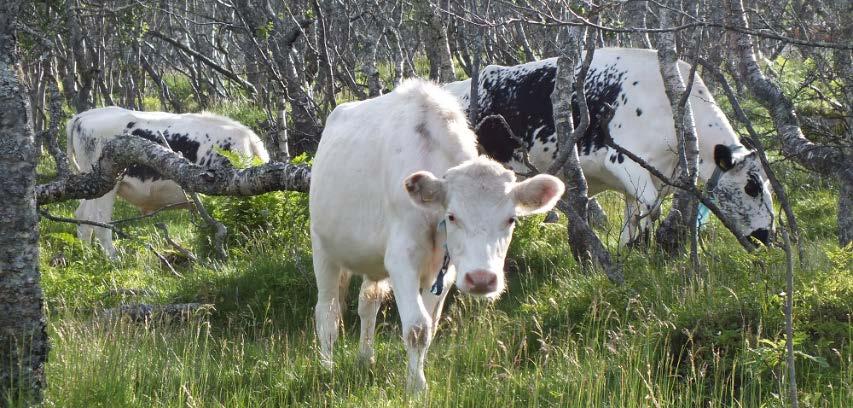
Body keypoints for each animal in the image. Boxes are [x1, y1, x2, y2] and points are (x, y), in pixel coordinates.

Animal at [66, 107, 270, 256]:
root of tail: (82, 116)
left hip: (90, 186)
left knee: (83, 218)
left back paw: (88, 257)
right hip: (107, 184)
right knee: (100, 222)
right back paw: (113, 260)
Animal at [310, 79, 564, 392]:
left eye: (511, 219)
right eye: (452, 216)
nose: (482, 279)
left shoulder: (447, 268)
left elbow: (428, 325)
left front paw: (415, 379)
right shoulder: (402, 259)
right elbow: (417, 327)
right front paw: (416, 388)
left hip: (373, 263)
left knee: (367, 303)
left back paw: (365, 358)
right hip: (323, 251)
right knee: (328, 313)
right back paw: (327, 367)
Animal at [442, 47, 776, 245]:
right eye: (751, 187)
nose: (768, 234)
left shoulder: (644, 181)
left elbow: (634, 219)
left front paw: (632, 252)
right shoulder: (626, 163)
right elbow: (650, 209)